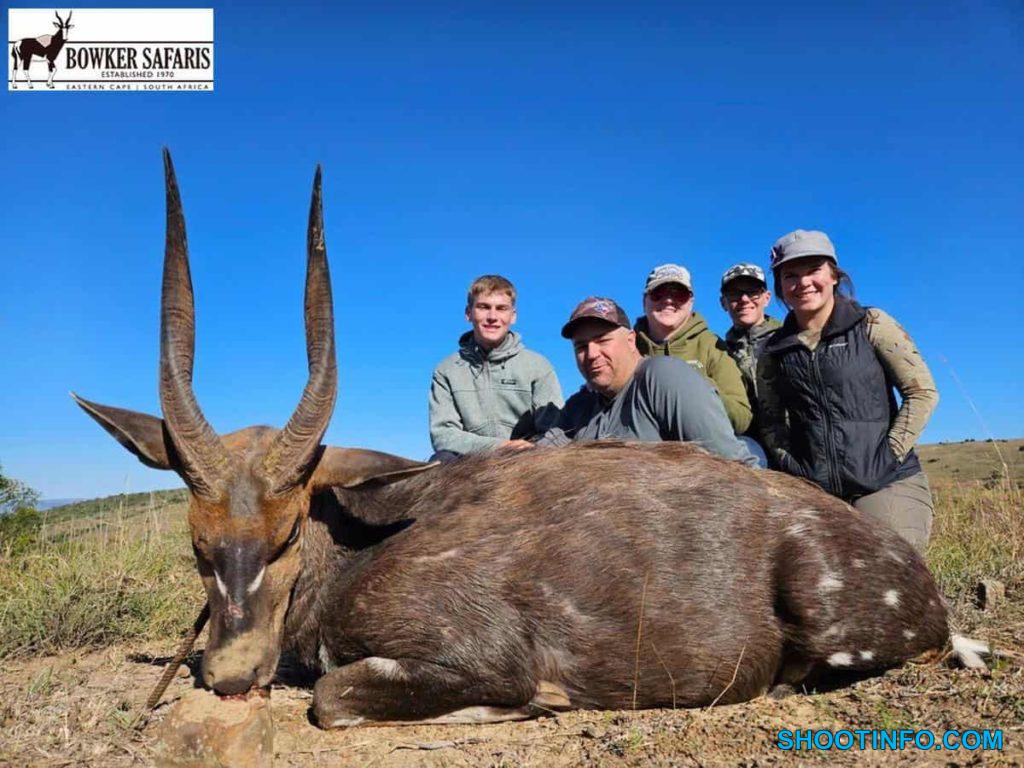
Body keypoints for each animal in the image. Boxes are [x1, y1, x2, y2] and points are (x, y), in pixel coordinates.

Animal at [73, 150, 968, 728]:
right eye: (196, 543)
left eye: (289, 529)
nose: (229, 676)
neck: (361, 541)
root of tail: (919, 584)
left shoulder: (475, 655)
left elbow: (334, 697)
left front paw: (534, 703)